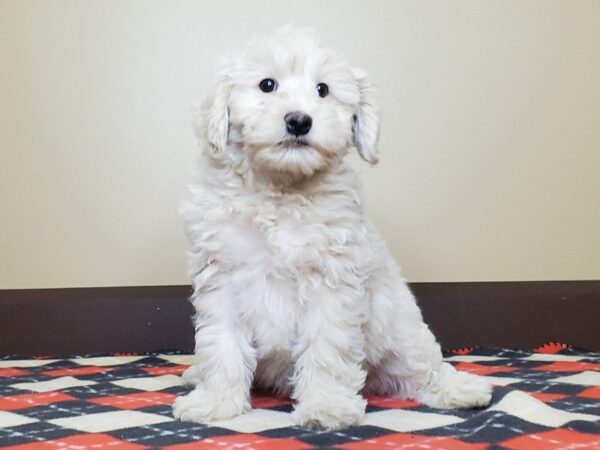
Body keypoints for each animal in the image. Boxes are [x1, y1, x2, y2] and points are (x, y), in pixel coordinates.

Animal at [171, 26, 490, 430]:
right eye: (267, 85)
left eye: (322, 89)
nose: (299, 120)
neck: (281, 190)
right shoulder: (222, 278)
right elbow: (221, 345)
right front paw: (216, 402)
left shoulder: (332, 283)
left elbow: (326, 348)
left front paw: (326, 406)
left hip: (400, 332)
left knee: (425, 368)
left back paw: (460, 389)